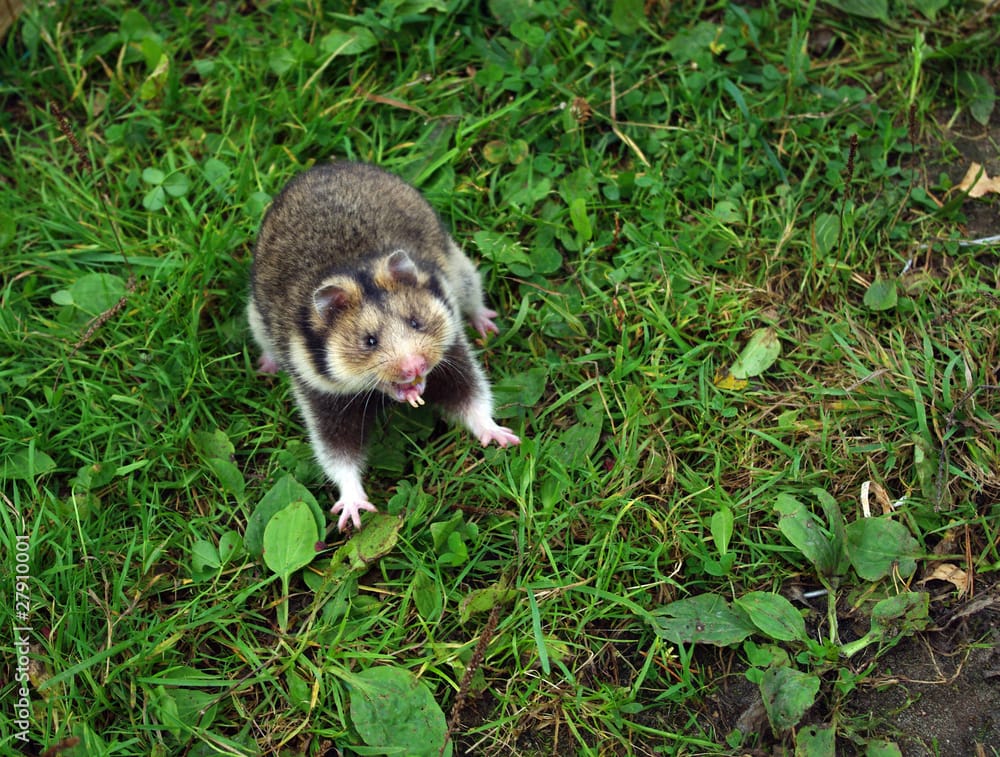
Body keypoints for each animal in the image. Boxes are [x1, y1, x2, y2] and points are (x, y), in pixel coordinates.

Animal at [247, 162, 521, 532]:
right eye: (369, 341)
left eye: (416, 322)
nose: (415, 368)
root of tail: (328, 166)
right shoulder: (322, 396)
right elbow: (338, 455)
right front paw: (353, 515)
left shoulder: (453, 354)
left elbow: (473, 400)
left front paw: (504, 438)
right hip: (254, 316)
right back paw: (267, 366)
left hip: (462, 270)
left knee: (474, 298)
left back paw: (487, 325)